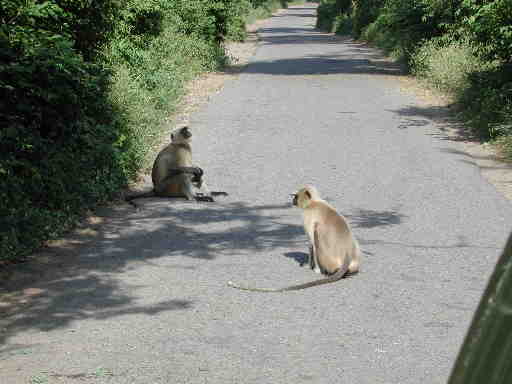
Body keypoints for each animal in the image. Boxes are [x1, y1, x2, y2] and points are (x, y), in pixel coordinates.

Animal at [228, 185, 360, 292]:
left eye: (296, 196)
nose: (293, 200)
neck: (314, 202)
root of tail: (347, 253)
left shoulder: (307, 215)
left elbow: (311, 243)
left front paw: (312, 268)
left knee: (317, 234)